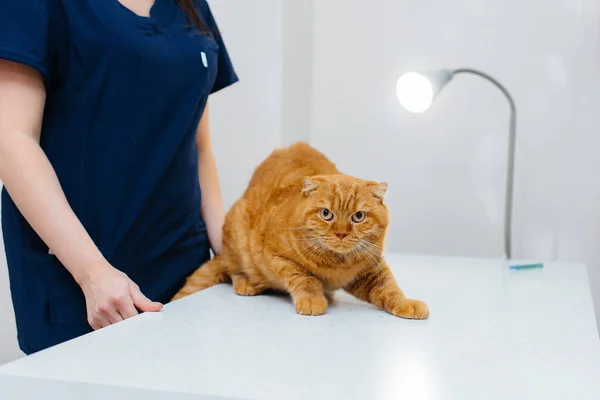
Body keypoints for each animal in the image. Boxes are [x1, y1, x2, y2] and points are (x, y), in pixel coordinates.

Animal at [171, 142, 428, 320]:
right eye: (326, 214)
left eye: (358, 217)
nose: (341, 233)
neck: (337, 264)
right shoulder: (277, 257)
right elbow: (305, 278)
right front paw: (314, 299)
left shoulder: (371, 269)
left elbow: (390, 288)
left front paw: (407, 303)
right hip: (237, 236)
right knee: (235, 270)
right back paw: (248, 283)